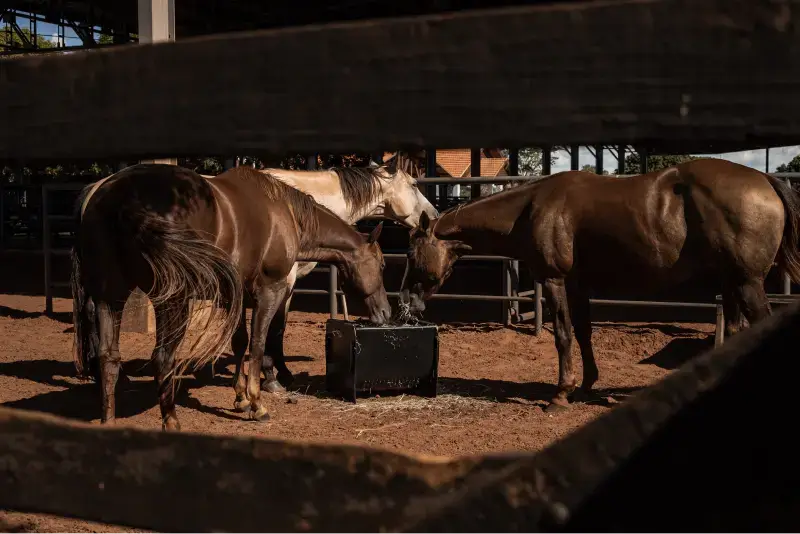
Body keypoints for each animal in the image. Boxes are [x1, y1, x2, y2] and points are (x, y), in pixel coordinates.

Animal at [72, 164, 392, 429]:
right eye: (382, 265)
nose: (386, 312)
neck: (285, 214)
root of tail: (121, 197)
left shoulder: (233, 294)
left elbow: (239, 343)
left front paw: (240, 398)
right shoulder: (270, 291)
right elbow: (259, 344)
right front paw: (257, 403)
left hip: (110, 297)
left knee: (108, 358)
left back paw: (109, 421)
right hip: (172, 301)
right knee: (162, 358)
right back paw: (171, 421)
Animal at [399, 158, 800, 411]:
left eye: (411, 252)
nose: (406, 300)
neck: (531, 208)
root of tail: (765, 180)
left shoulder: (555, 282)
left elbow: (562, 335)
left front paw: (560, 395)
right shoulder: (578, 286)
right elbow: (583, 332)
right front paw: (586, 385)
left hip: (747, 283)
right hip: (733, 283)